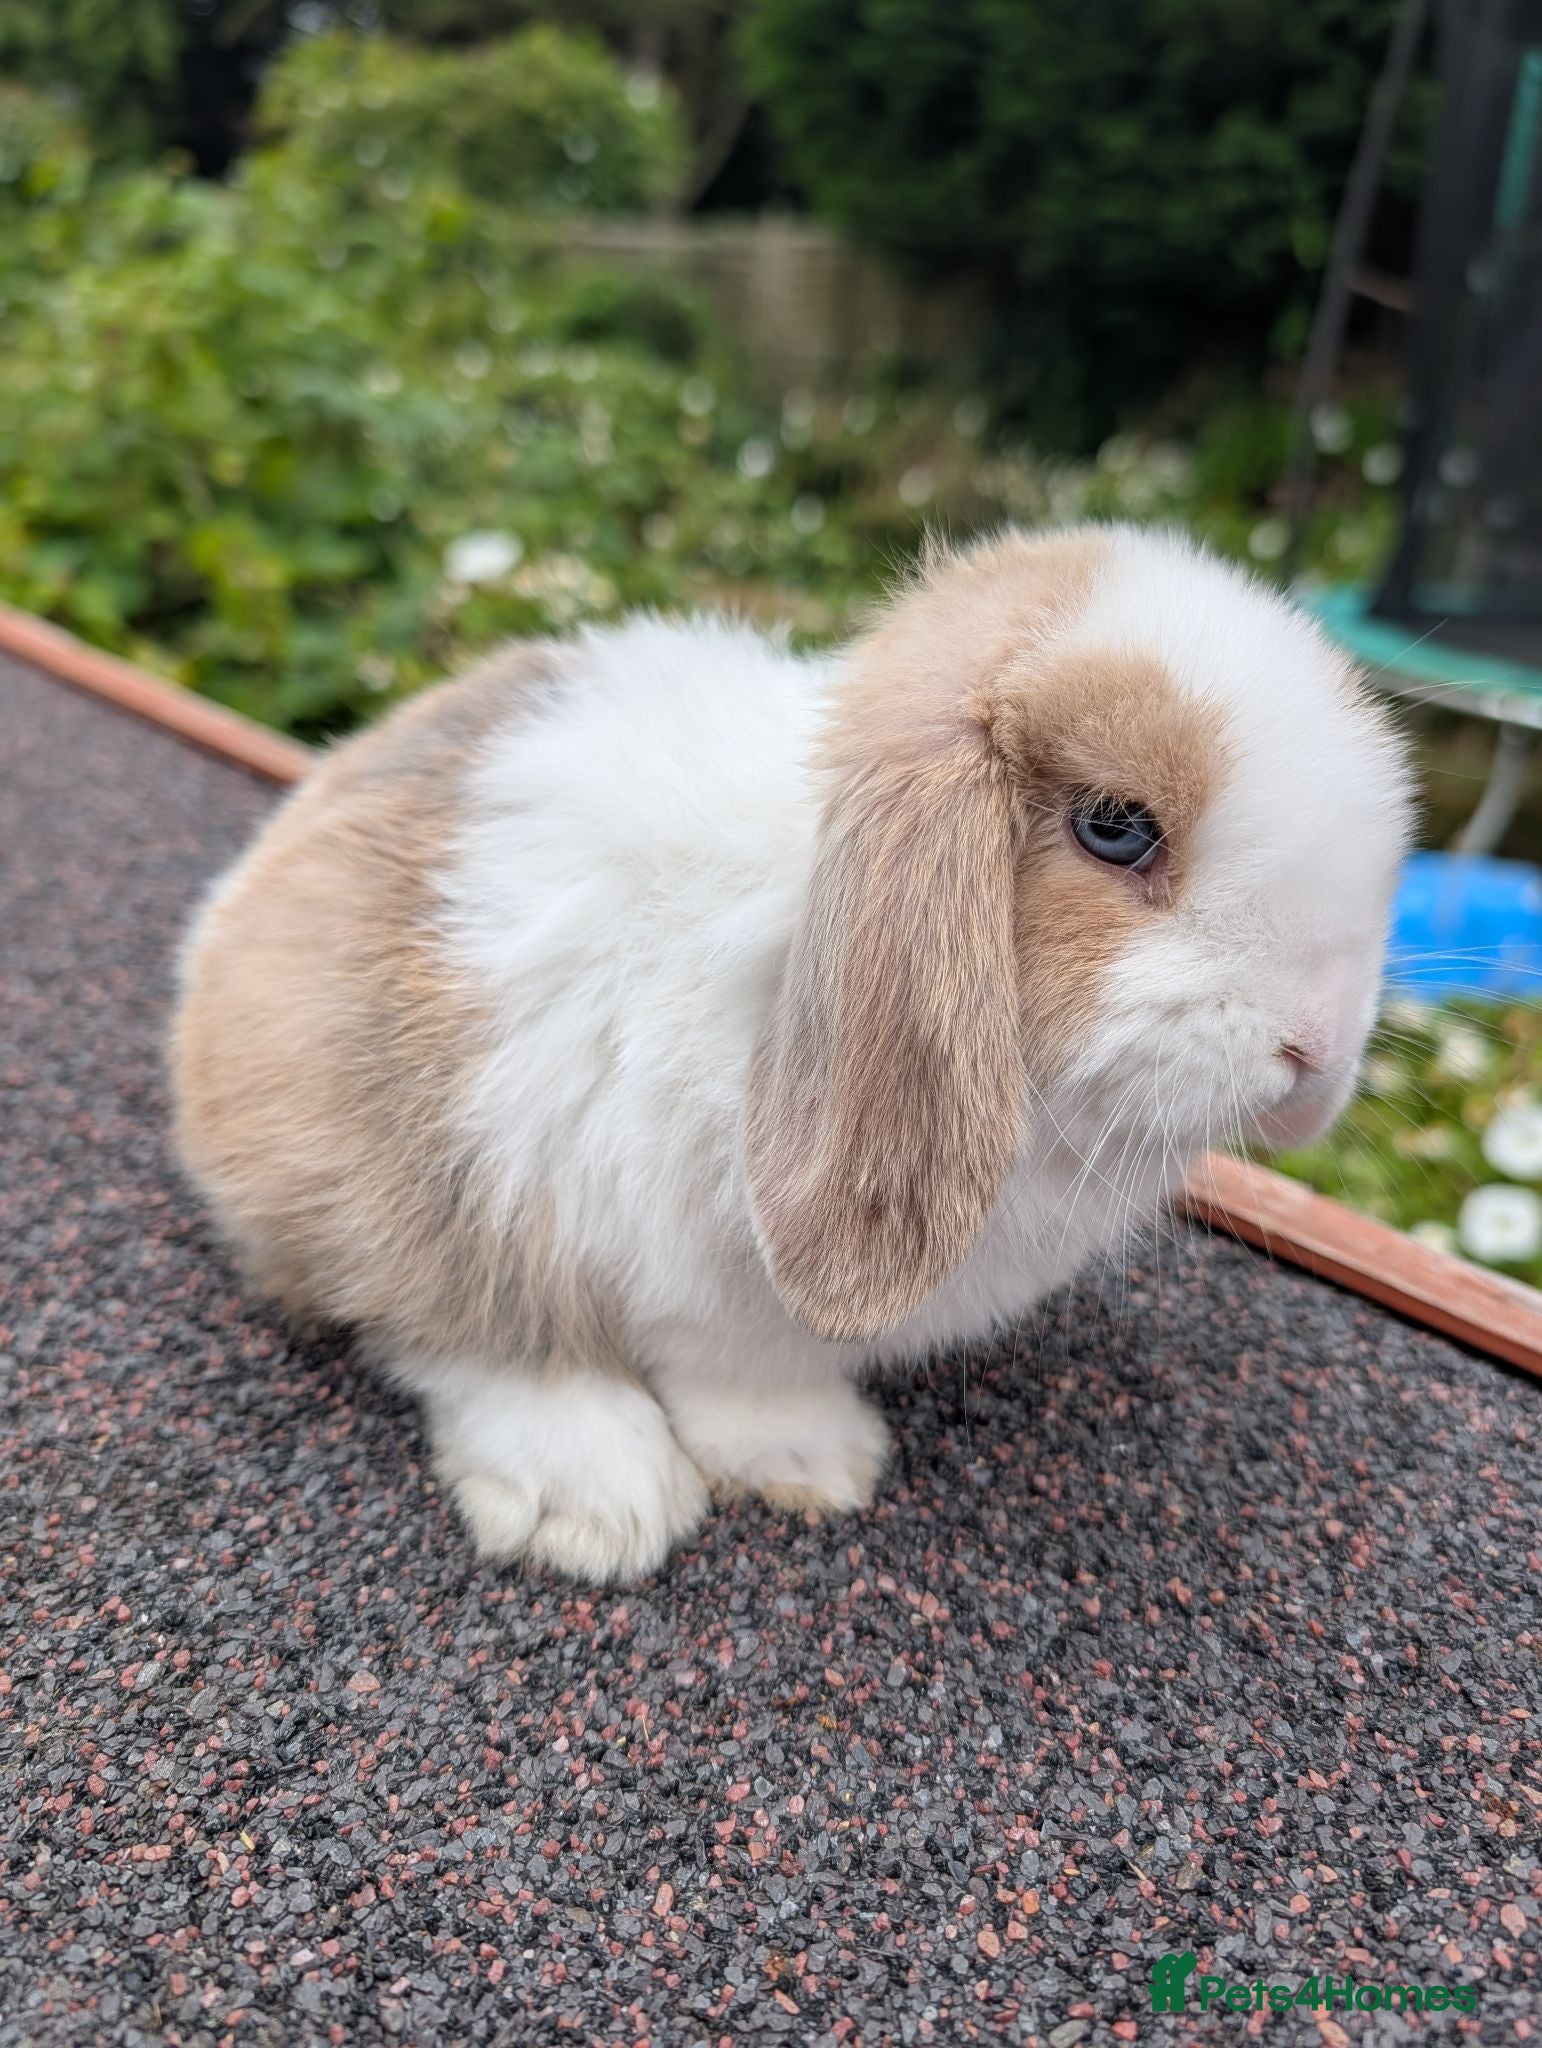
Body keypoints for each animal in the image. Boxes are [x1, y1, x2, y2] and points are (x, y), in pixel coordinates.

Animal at [172, 523, 1413, 1582]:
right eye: (1116, 826)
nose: (1316, 1048)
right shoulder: (674, 1246)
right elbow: (725, 1362)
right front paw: (817, 1463)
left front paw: (819, 1466)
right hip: (388, 1157)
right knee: (446, 1318)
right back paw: (602, 1505)